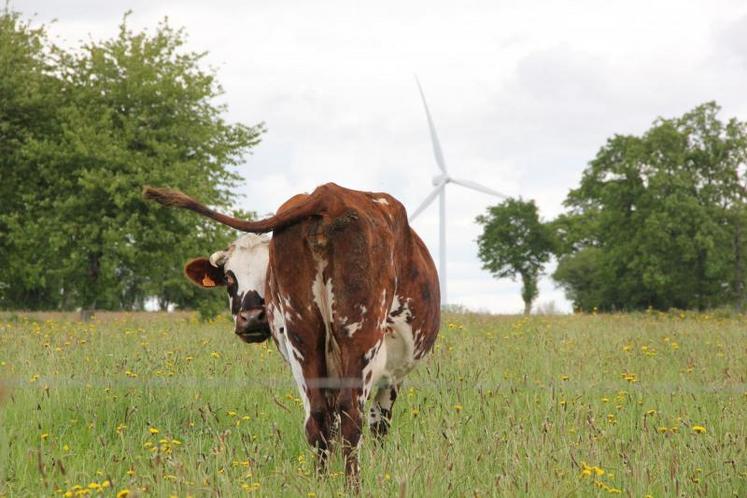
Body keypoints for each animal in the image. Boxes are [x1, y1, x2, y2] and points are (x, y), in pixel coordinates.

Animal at [143, 182, 442, 482]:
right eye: (229, 277)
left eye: (264, 273)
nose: (251, 319)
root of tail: (328, 195)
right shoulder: (392, 374)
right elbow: (377, 424)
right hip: (359, 337)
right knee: (350, 417)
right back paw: (350, 485)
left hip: (302, 339)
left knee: (318, 418)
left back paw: (322, 484)